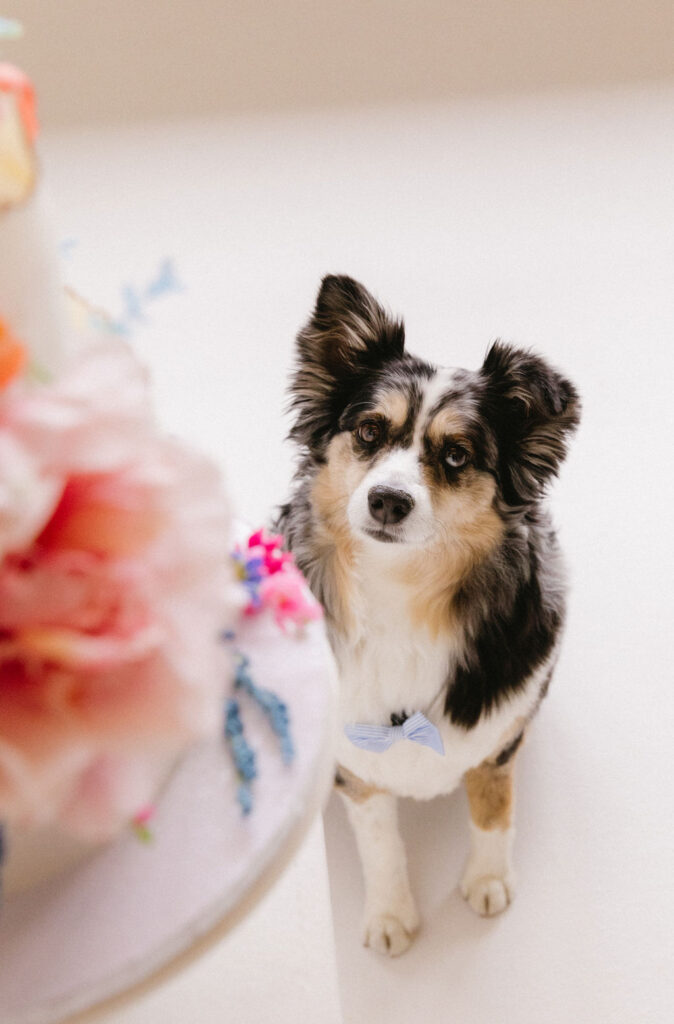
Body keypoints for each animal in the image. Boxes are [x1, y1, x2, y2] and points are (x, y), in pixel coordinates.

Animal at [276, 276, 581, 954]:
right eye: (368, 431)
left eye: (457, 455)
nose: (388, 501)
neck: (403, 590)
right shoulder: (357, 769)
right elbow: (380, 843)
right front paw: (391, 915)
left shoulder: (498, 741)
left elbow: (493, 810)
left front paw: (489, 882)